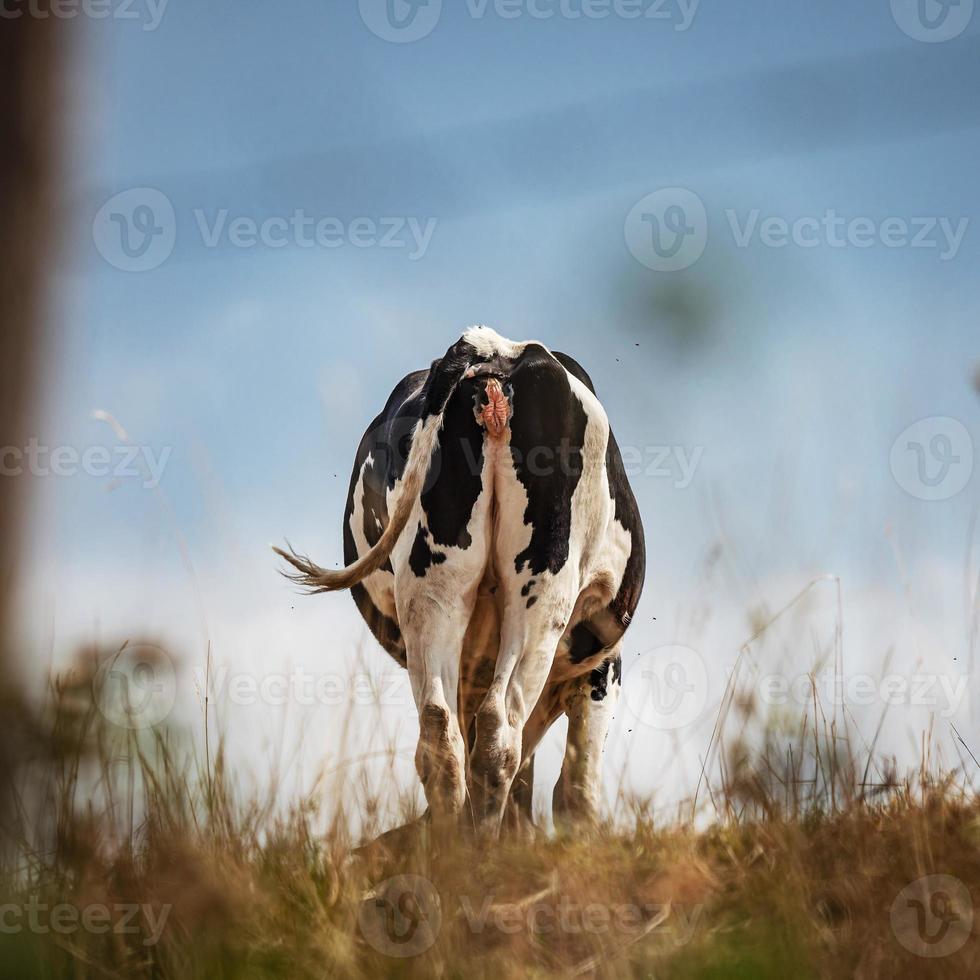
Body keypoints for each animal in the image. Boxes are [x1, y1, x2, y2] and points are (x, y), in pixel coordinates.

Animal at [276, 330, 644, 836]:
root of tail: (494, 349)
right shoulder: (602, 663)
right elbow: (577, 789)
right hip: (543, 589)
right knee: (500, 735)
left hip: (433, 587)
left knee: (441, 737)